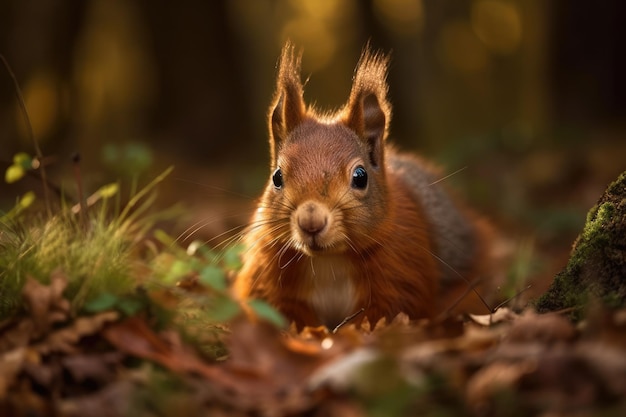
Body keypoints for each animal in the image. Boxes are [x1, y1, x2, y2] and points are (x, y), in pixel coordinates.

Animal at [233, 42, 492, 328]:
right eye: (277, 177)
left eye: (360, 176)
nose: (311, 221)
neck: (329, 261)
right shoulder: (269, 276)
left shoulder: (403, 270)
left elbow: (385, 313)